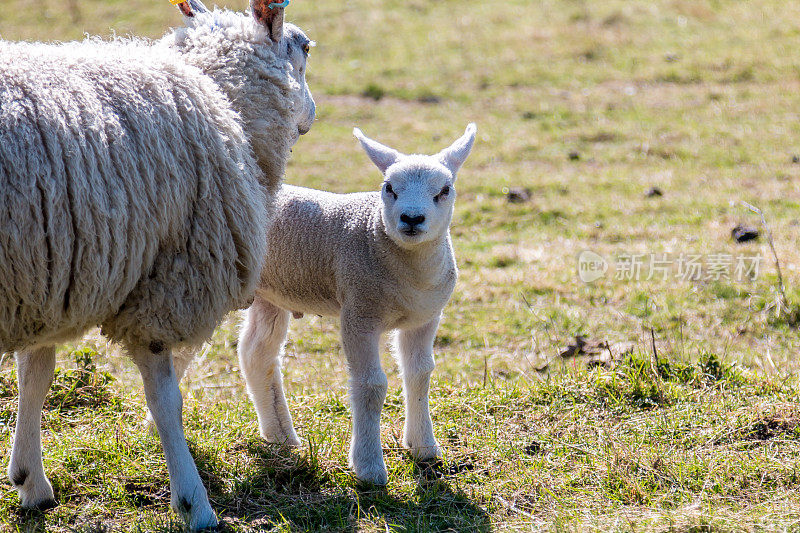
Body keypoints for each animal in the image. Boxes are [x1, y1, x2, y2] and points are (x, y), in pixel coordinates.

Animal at [0, 0, 316, 528]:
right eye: (305, 48)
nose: (312, 114)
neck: (221, 100)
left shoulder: (49, 275)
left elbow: (36, 374)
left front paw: (30, 481)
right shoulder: (166, 282)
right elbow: (167, 400)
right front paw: (194, 502)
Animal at [172, 123, 476, 482]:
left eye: (444, 190)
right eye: (388, 187)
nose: (412, 219)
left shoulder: (425, 318)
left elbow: (420, 374)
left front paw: (424, 447)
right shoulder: (359, 311)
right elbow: (371, 385)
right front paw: (368, 467)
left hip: (271, 293)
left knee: (256, 353)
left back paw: (280, 436)